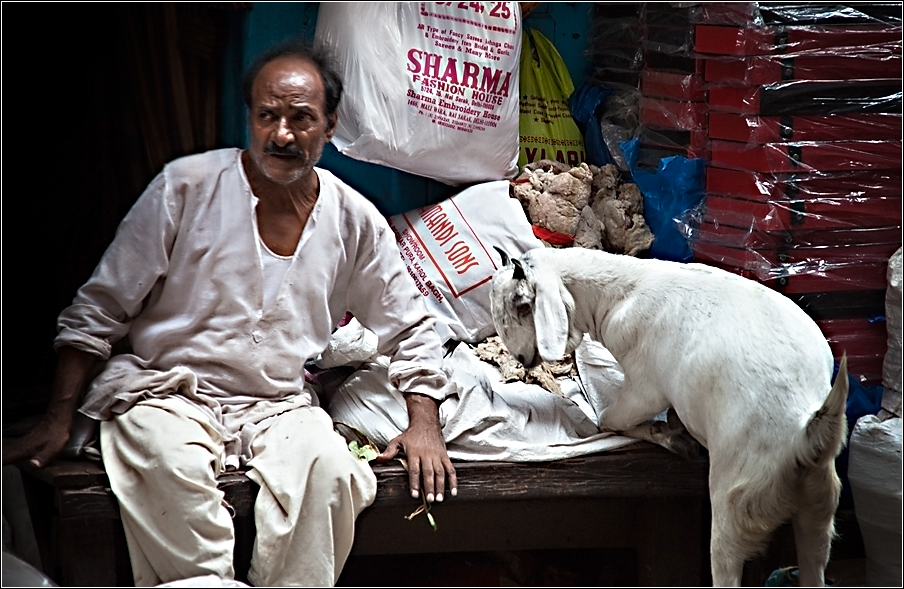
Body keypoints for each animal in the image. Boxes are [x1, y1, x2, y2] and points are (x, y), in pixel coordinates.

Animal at [488, 246, 848, 584]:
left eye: (523, 307)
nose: (522, 358)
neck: (617, 294)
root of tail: (806, 431)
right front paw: (675, 426)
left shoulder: (644, 388)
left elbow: (609, 419)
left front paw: (670, 436)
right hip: (818, 509)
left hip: (736, 501)